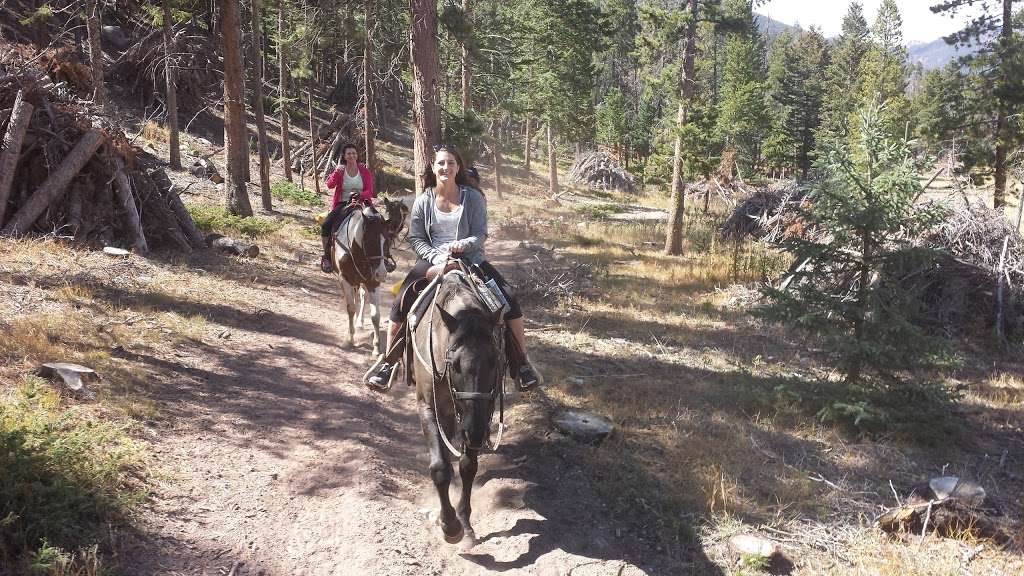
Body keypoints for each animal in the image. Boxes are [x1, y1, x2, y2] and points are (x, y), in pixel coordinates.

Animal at [329, 194, 405, 352]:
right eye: (370, 241)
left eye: (386, 242)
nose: (382, 273)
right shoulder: (345, 279)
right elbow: (351, 308)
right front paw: (349, 339)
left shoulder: (372, 281)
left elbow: (375, 315)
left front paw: (376, 348)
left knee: (363, 296)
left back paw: (360, 323)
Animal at [405, 266, 505, 549]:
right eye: (455, 364)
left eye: (495, 360)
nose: (475, 432)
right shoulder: (428, 408)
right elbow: (440, 467)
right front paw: (450, 526)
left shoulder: (481, 414)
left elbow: (468, 465)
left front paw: (465, 524)